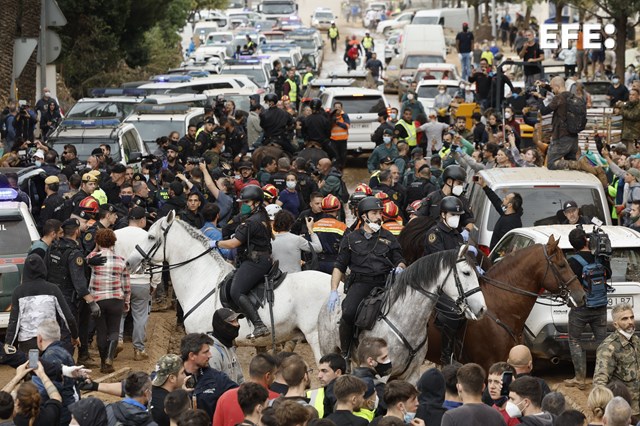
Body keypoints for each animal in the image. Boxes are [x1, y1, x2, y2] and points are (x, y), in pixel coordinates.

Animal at [318, 246, 488, 382]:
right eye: (466, 273)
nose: (482, 309)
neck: (404, 321)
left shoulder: (412, 375)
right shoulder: (382, 375)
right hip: (329, 352)